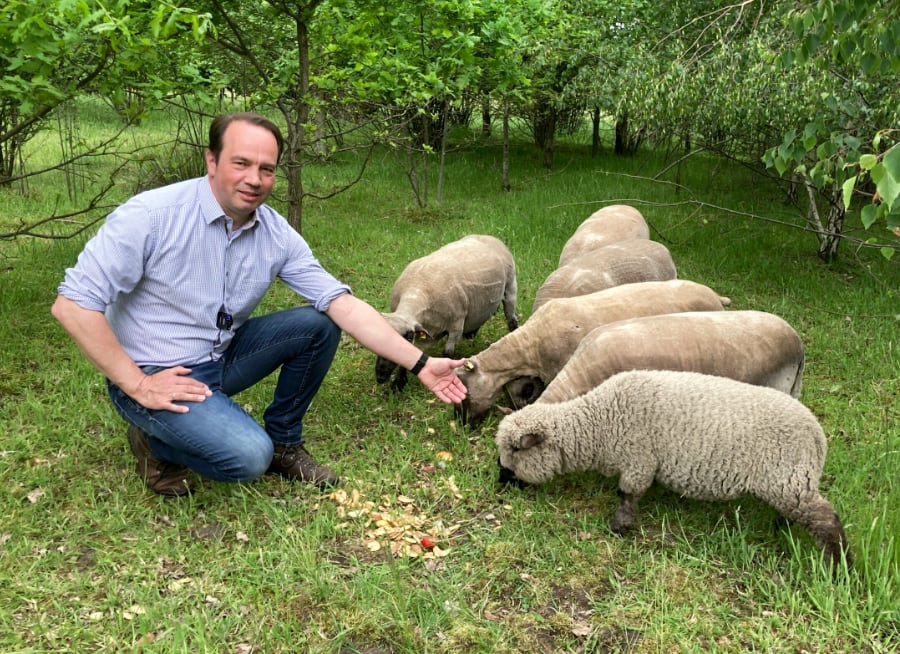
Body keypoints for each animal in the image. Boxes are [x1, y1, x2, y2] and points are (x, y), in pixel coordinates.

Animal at [376, 234, 520, 392]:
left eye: (407, 337)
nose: (380, 375)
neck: (417, 292)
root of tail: (490, 237)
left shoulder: (455, 326)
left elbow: (448, 354)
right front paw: (398, 383)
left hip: (510, 287)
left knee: (512, 320)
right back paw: (471, 333)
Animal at [496, 372, 856, 572]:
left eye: (514, 451)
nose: (500, 483)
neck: (598, 423)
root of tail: (817, 435)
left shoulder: (638, 458)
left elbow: (627, 494)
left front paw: (619, 527)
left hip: (789, 478)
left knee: (827, 520)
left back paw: (840, 567)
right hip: (790, 482)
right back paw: (782, 529)